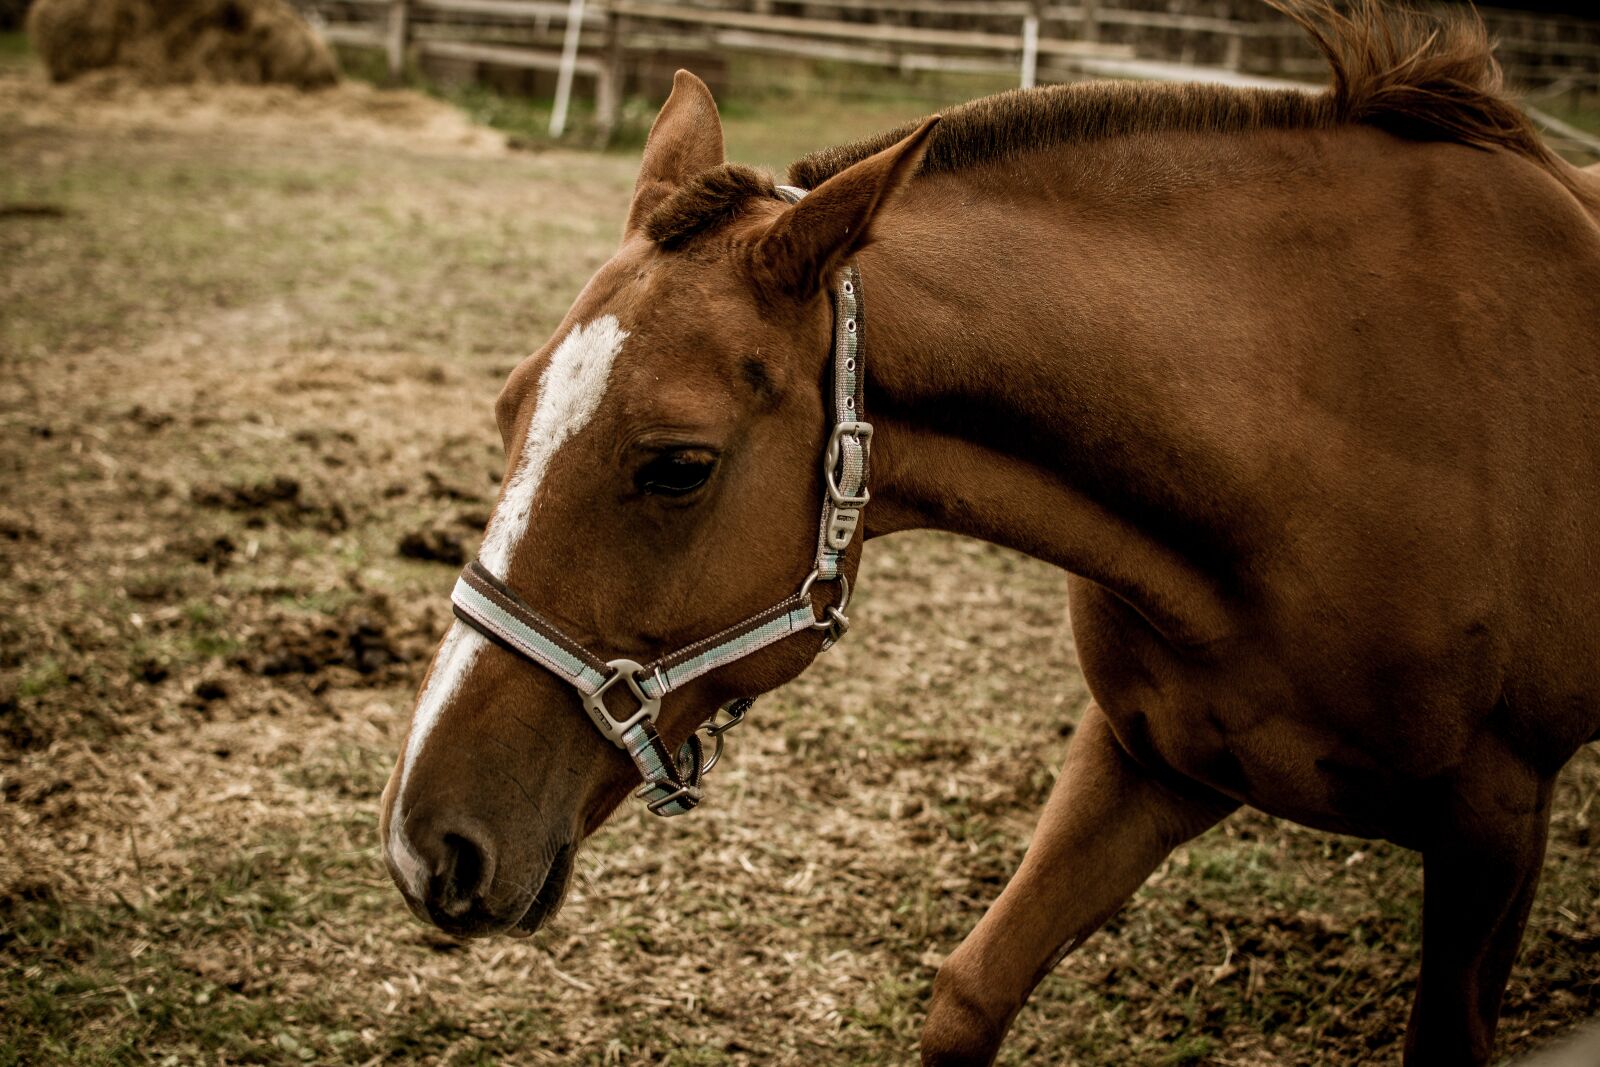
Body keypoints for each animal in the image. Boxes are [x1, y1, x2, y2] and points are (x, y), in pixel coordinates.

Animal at [379, 1, 1600, 1062]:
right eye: (508, 407)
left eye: (678, 465)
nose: (426, 841)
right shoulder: (1150, 757)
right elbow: (970, 989)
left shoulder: (1496, 819)